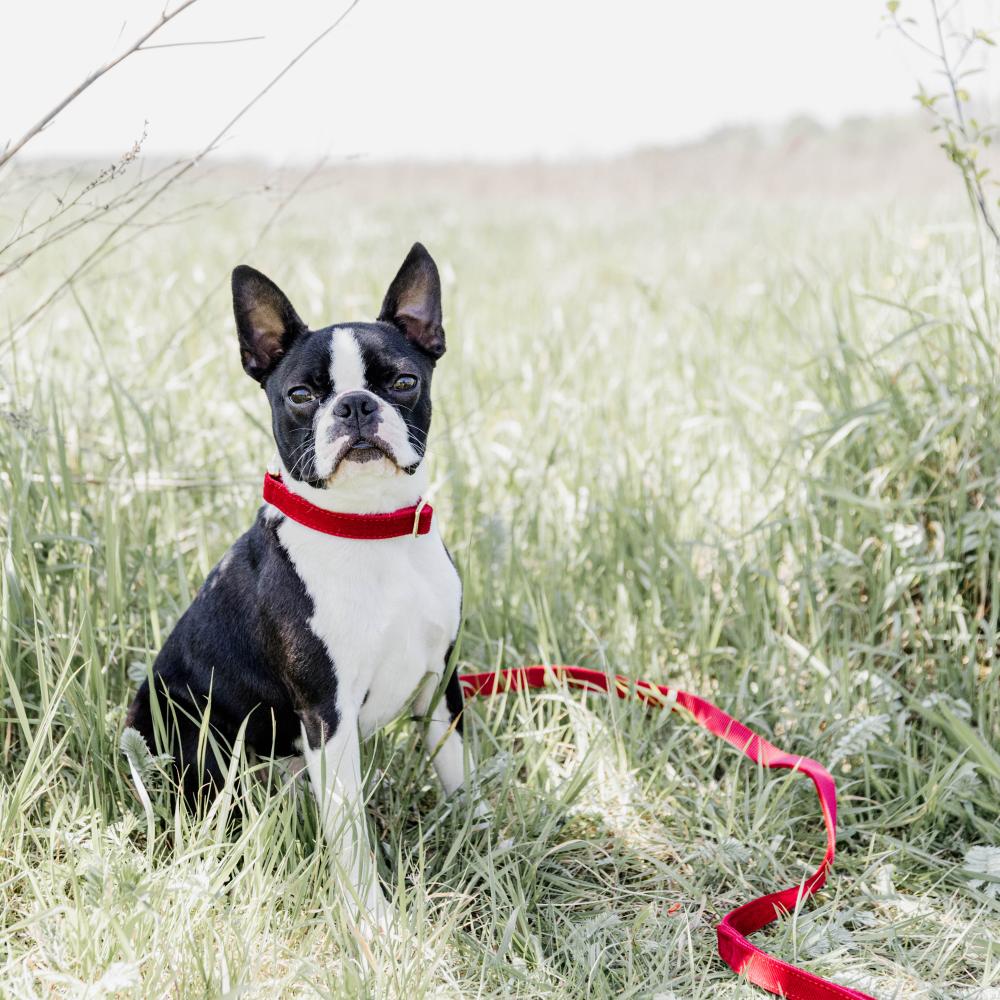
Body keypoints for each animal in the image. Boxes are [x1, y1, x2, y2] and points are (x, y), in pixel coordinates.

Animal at [125, 243, 471, 927]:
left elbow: (460, 775)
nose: (355, 405)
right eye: (302, 394)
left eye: (403, 382)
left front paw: (489, 836)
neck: (370, 529)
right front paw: (373, 923)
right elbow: (351, 837)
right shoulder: (326, 714)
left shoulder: (441, 684)